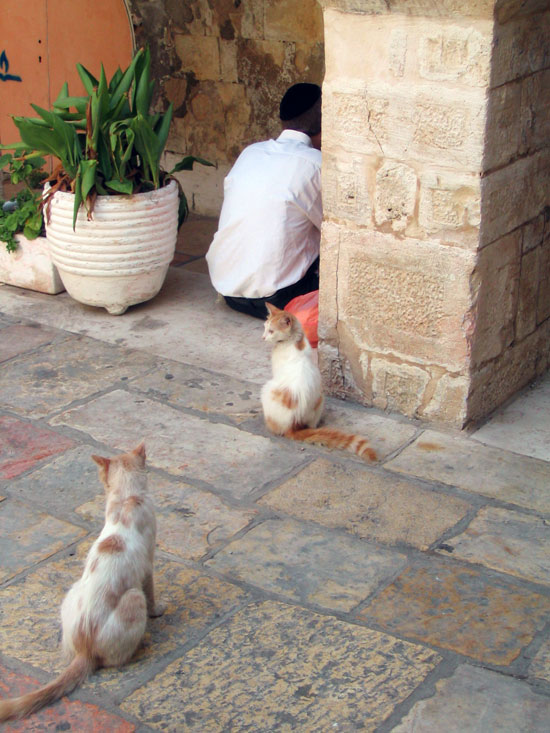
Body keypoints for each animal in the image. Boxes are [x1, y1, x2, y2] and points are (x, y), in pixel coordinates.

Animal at [0, 440, 164, 720]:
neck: (125, 498)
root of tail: (84, 649)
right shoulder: (148, 566)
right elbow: (152, 595)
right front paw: (159, 612)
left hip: (72, 591)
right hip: (133, 598)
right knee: (115, 658)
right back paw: (142, 643)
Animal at [260, 300, 378, 460]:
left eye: (271, 331)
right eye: (265, 327)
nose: (263, 337)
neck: (294, 342)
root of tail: (294, 426)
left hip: (267, 389)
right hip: (320, 398)